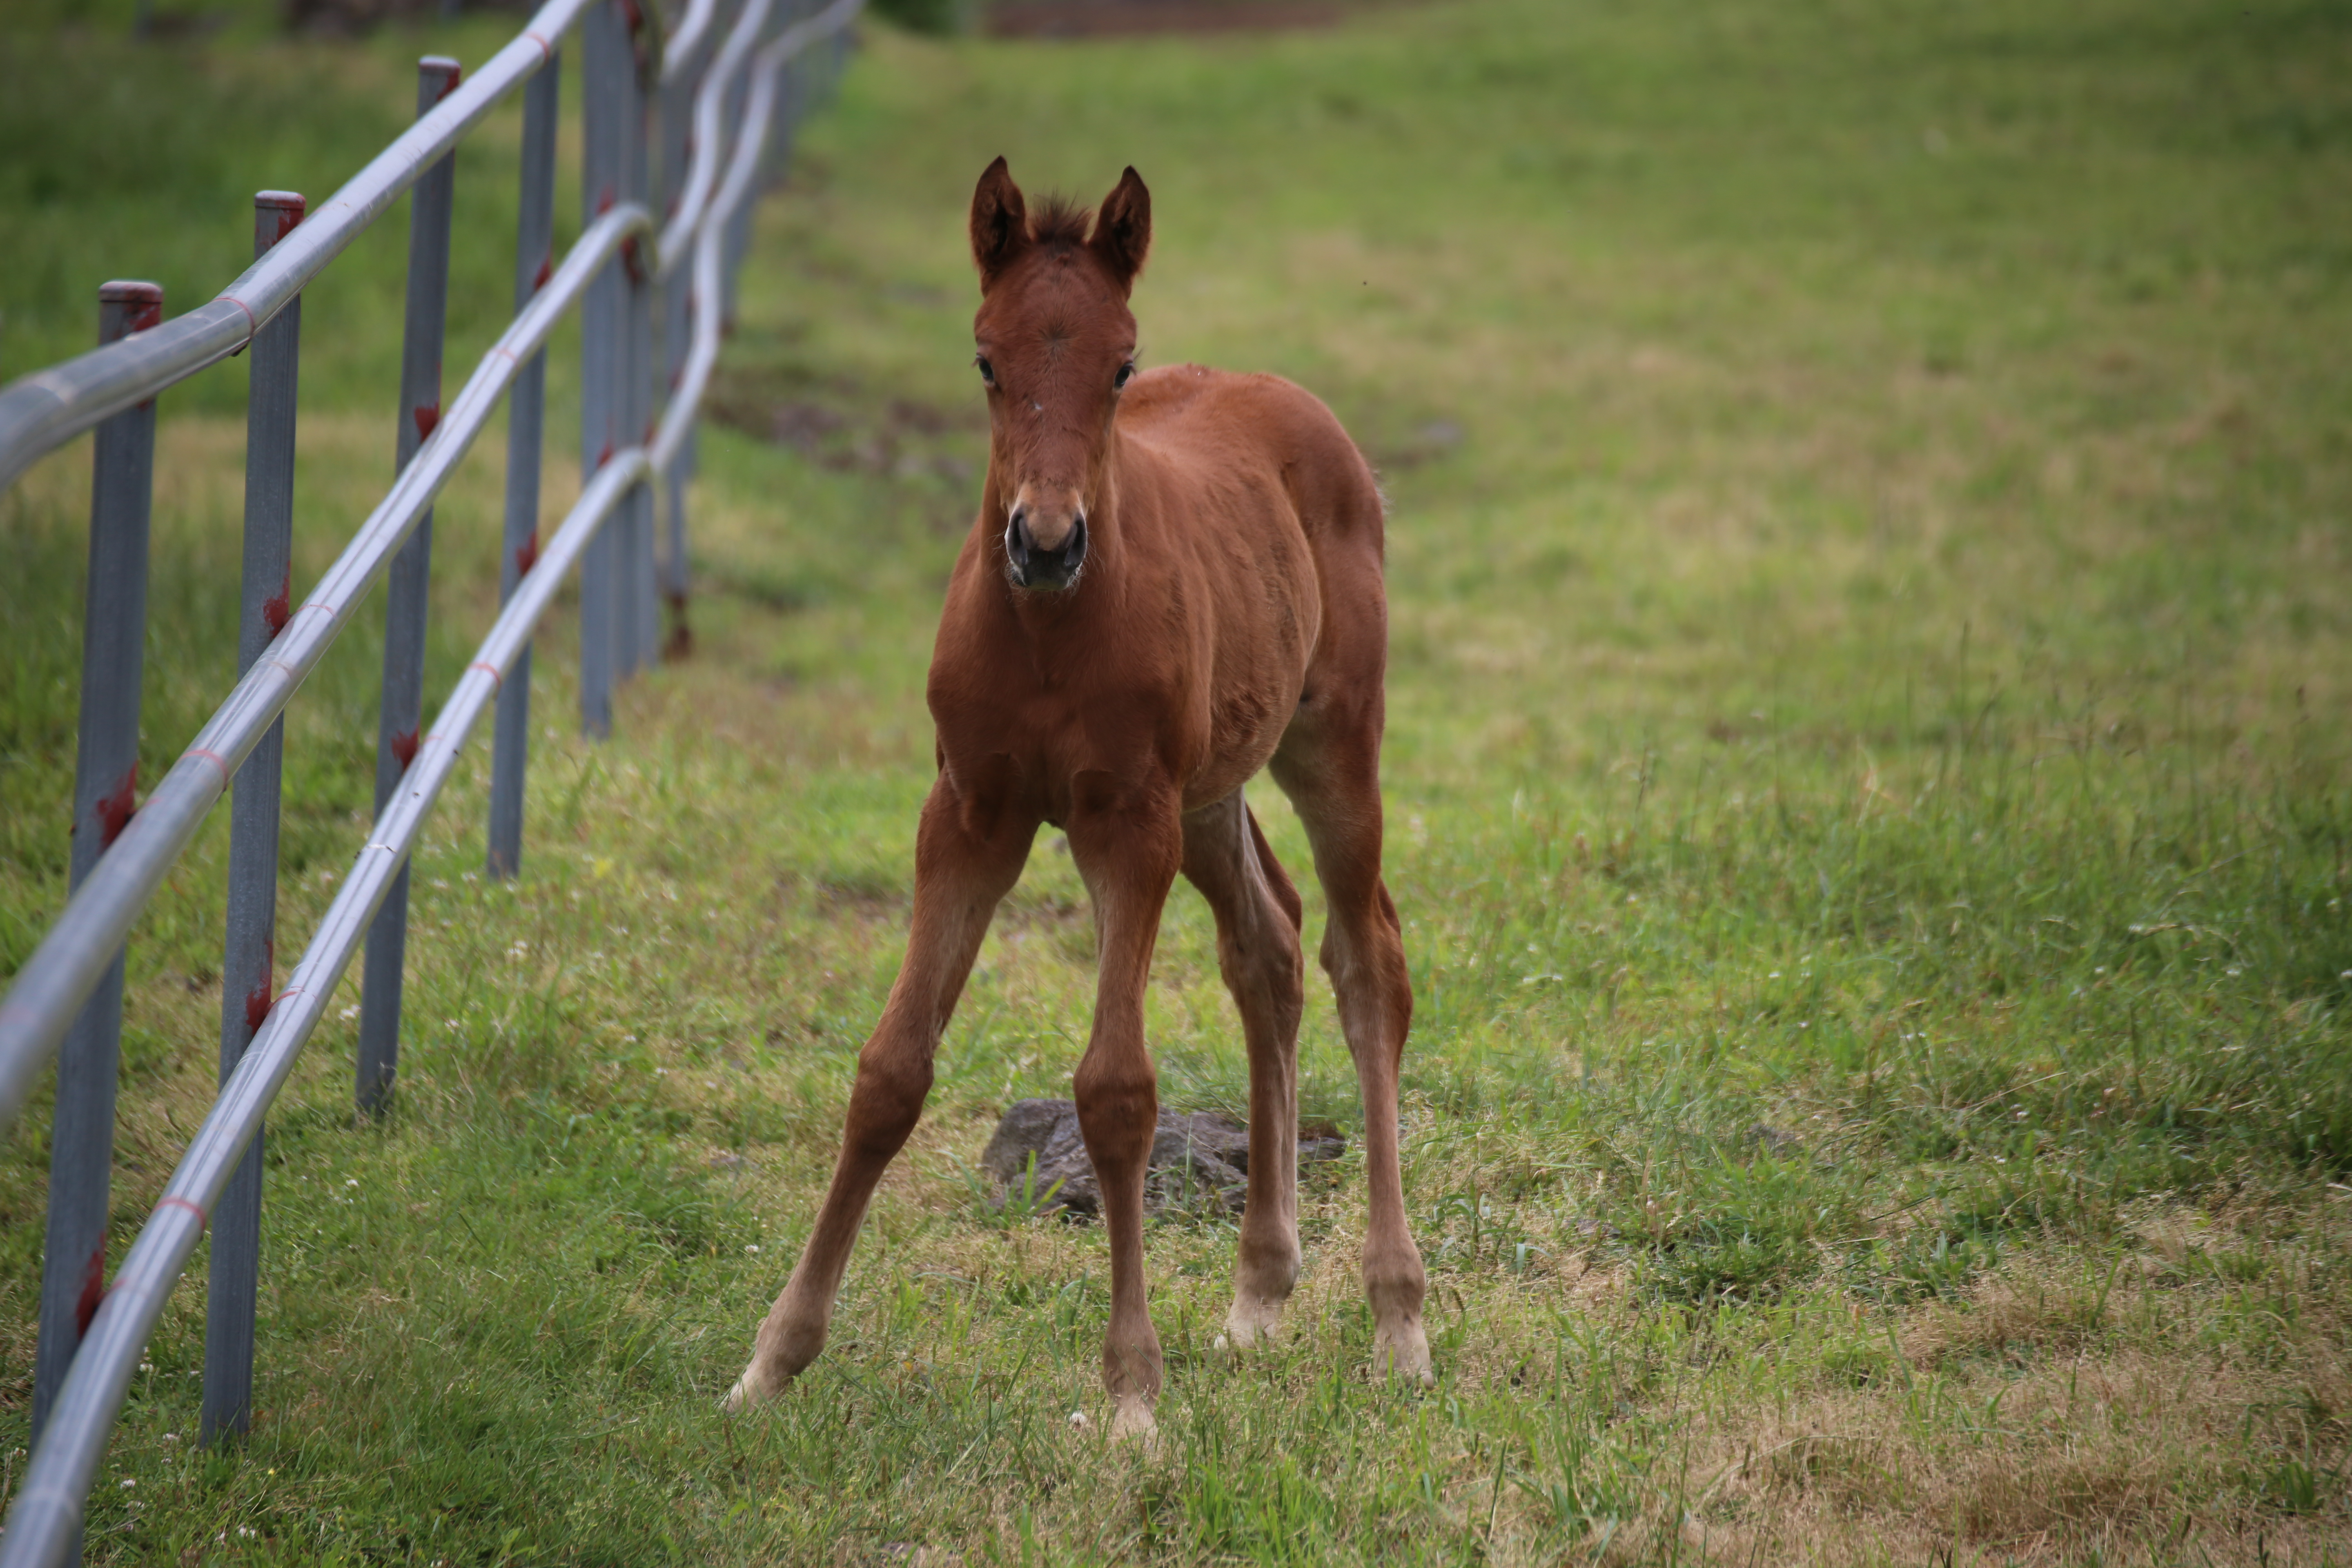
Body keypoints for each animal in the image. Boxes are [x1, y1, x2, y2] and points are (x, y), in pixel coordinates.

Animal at [724, 162, 1421, 1448]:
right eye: (984, 359)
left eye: (1121, 365)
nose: (1044, 544)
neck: (1049, 630)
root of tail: (1297, 403)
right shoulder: (969, 814)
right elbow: (890, 1070)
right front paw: (771, 1363)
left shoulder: (1122, 823)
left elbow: (1116, 1091)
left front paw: (1132, 1395)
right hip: (1212, 789)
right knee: (1268, 948)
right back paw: (1259, 1292)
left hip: (1328, 744)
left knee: (1367, 965)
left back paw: (1399, 1317)